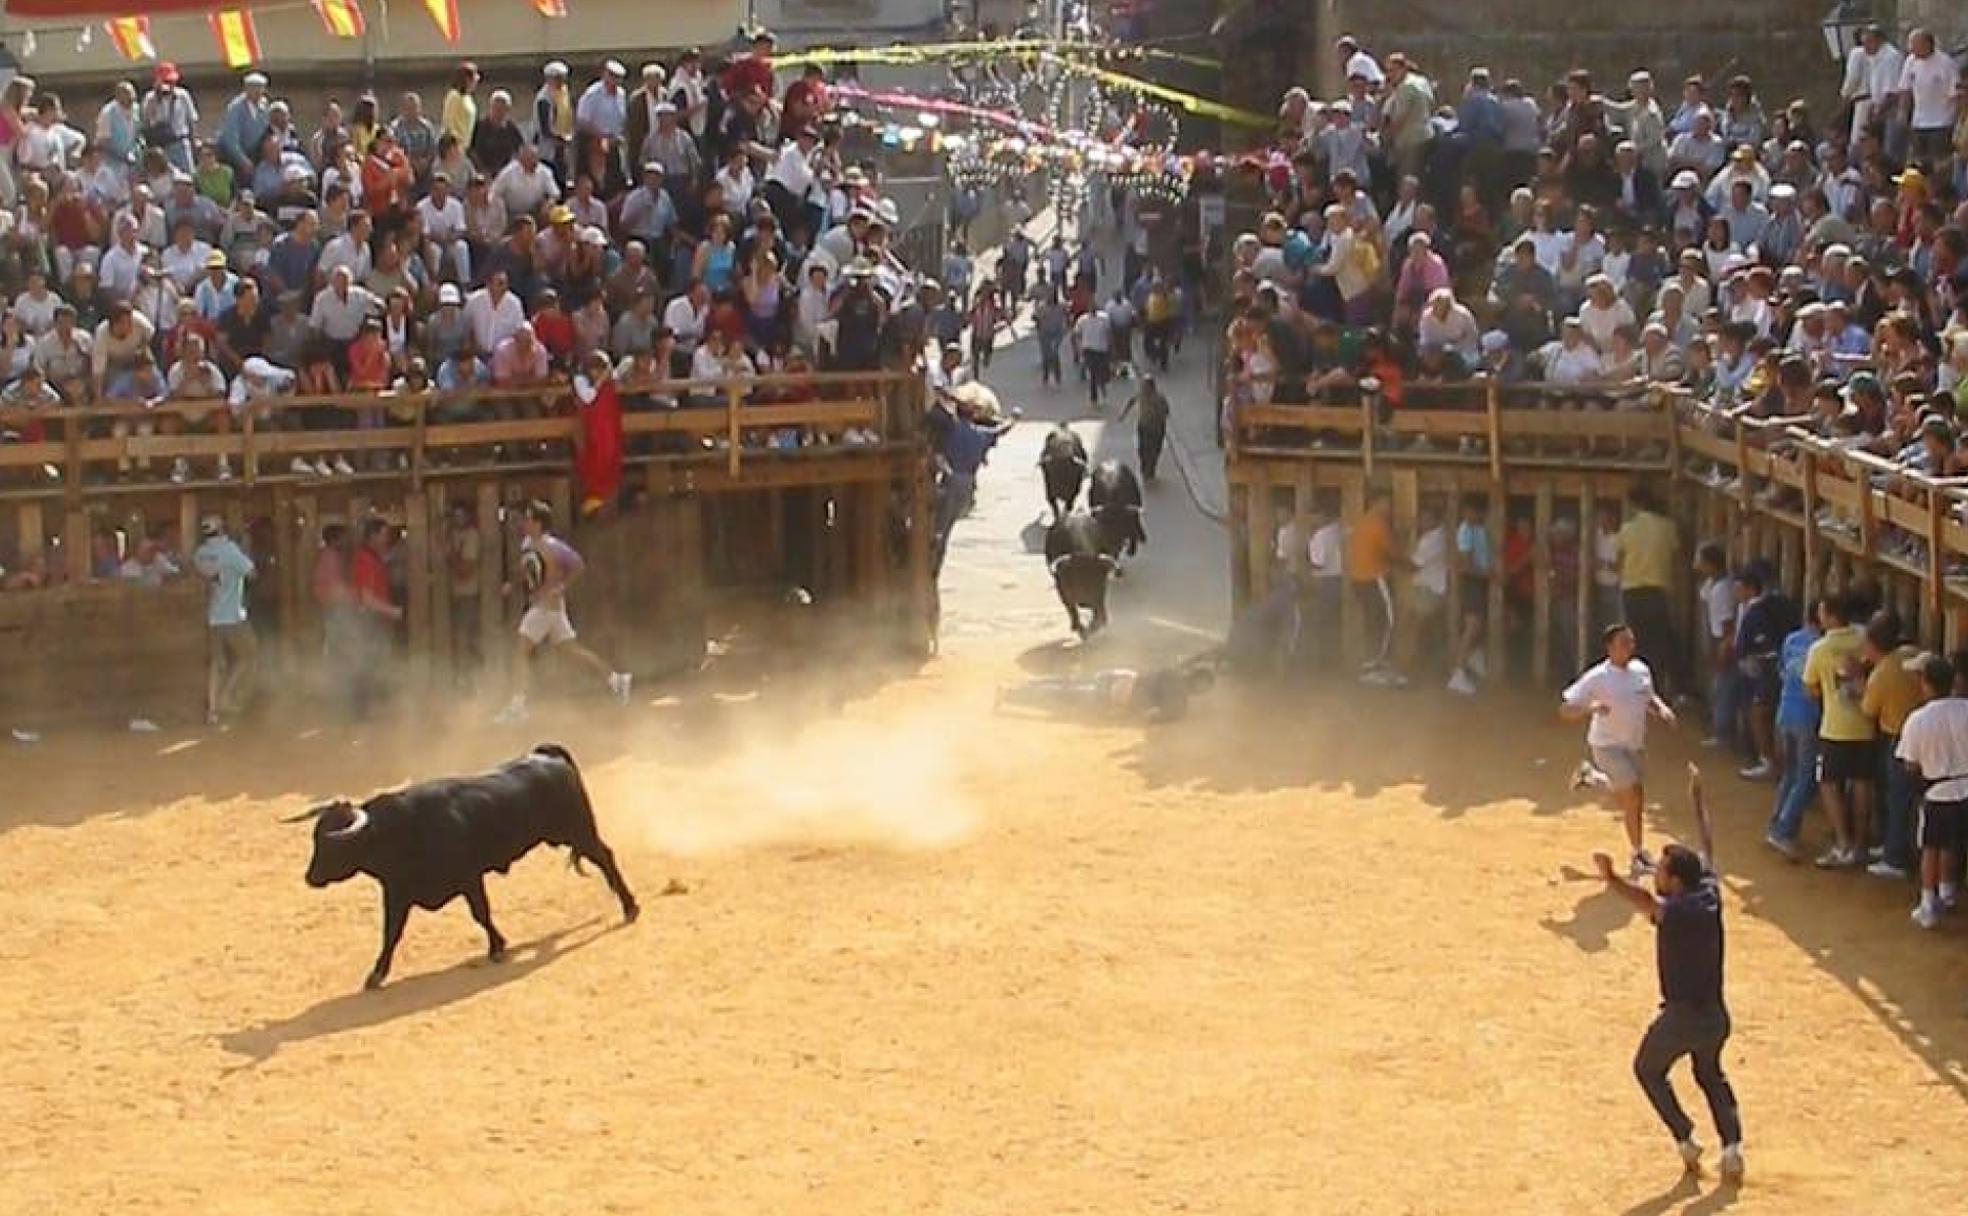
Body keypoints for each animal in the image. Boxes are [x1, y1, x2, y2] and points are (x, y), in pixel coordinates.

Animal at [291, 739, 637, 983]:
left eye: (333, 845)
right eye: (315, 838)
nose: (310, 877)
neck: (399, 830)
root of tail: (545, 753)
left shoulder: (469, 878)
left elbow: (480, 913)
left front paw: (497, 947)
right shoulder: (397, 893)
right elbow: (391, 933)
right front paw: (376, 974)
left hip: (578, 830)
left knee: (605, 857)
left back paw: (630, 907)